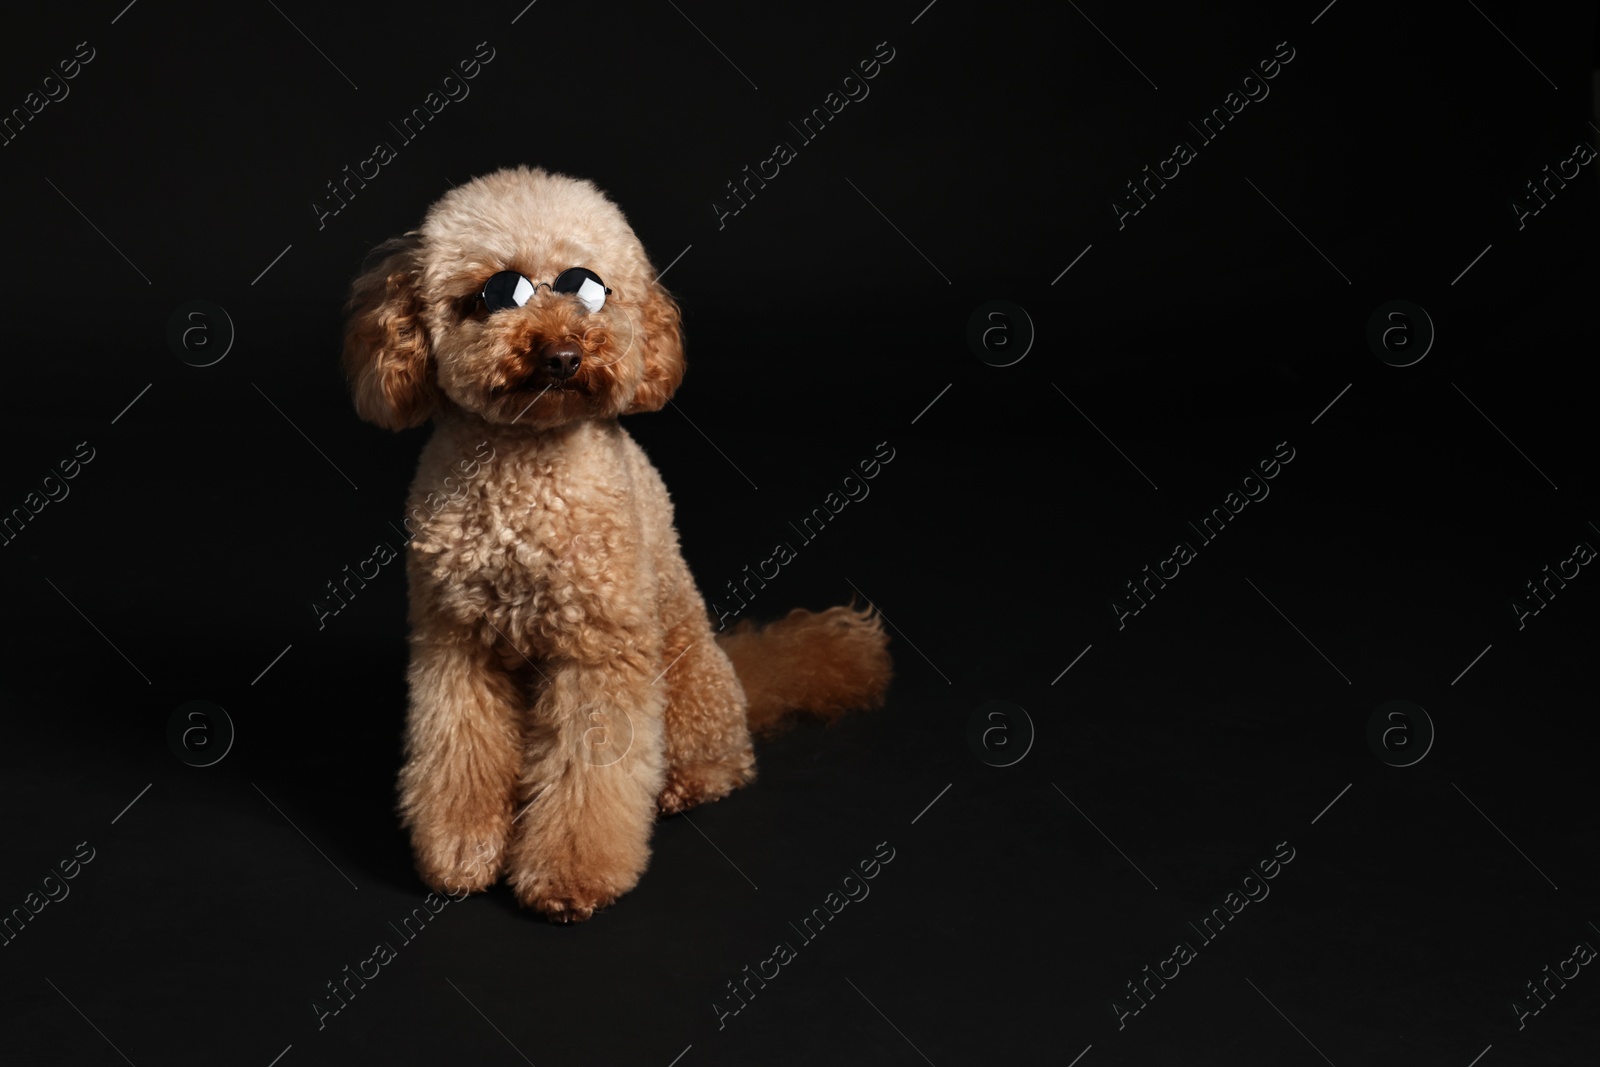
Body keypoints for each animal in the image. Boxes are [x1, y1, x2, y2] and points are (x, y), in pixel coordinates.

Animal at [342, 164, 889, 921]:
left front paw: (570, 877)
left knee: (723, 759)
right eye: (496, 294)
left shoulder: (599, 648)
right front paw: (461, 853)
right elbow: (461, 751)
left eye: (588, 287)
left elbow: (589, 774)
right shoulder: (457, 644)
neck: (525, 461)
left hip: (687, 676)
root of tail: (739, 677)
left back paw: (686, 783)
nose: (563, 355)